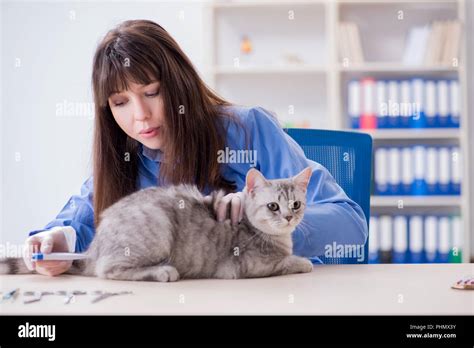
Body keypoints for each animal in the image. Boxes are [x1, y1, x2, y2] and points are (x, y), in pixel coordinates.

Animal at [1, 167, 312, 282]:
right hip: (157, 229)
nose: (288, 217)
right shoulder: (248, 266)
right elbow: (288, 262)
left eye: (296, 205)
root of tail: (95, 245)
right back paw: (163, 271)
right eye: (273, 206)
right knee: (108, 270)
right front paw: (303, 261)